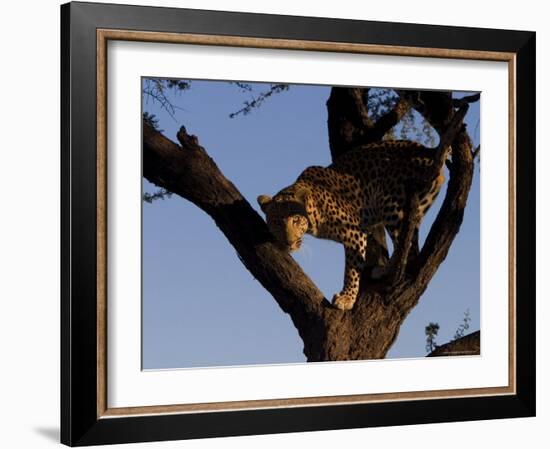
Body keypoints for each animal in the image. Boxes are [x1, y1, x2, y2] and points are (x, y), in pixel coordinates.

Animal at [258, 138, 448, 310]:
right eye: (276, 222)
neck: (314, 213)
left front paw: (346, 298)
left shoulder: (354, 229)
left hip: (390, 204)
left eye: (296, 220)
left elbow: (352, 269)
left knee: (408, 247)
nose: (288, 243)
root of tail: (427, 150)